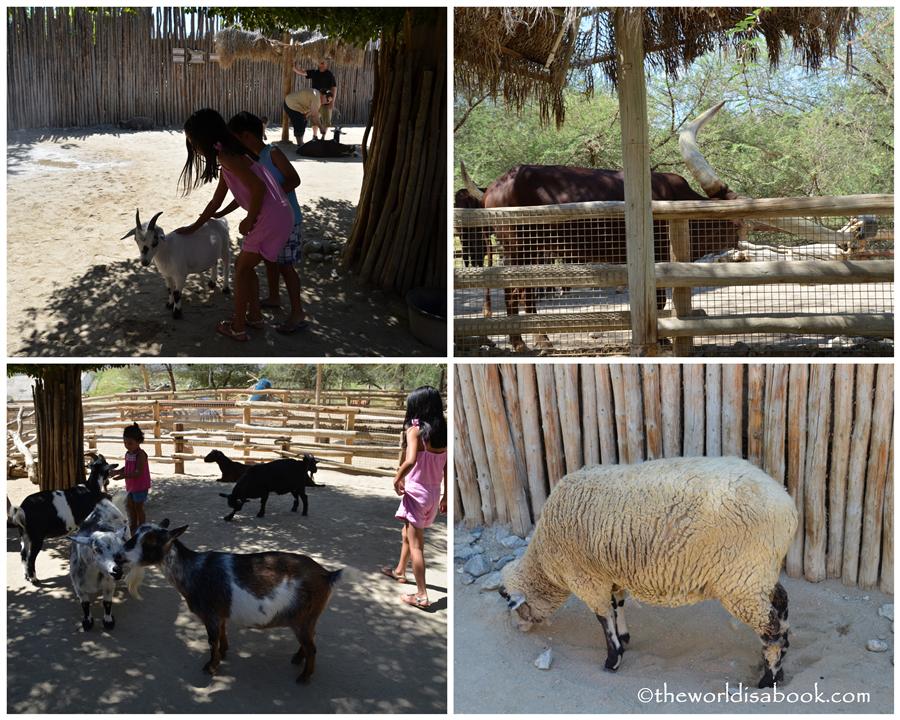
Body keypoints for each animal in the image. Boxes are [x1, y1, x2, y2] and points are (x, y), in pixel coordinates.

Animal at [68, 500, 144, 632]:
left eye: (119, 551)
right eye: (96, 549)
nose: (117, 571)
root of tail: (105, 504)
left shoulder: (109, 583)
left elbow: (107, 603)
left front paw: (108, 621)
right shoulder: (78, 587)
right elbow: (85, 605)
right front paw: (87, 622)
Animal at [116, 520, 342, 684]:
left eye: (150, 541)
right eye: (135, 533)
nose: (119, 555)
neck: (193, 571)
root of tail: (327, 575)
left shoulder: (211, 615)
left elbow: (211, 641)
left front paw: (211, 667)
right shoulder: (220, 614)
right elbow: (222, 635)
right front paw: (223, 654)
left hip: (303, 618)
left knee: (312, 647)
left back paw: (304, 677)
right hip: (308, 619)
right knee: (311, 639)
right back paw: (297, 659)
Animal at [500, 458, 800, 688]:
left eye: (508, 601)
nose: (517, 630)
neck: (544, 560)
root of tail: (788, 506)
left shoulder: (587, 578)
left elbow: (603, 618)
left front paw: (613, 659)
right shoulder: (611, 573)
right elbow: (617, 605)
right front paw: (624, 638)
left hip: (741, 579)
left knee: (771, 629)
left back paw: (768, 680)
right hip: (758, 572)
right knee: (781, 604)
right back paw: (778, 666)